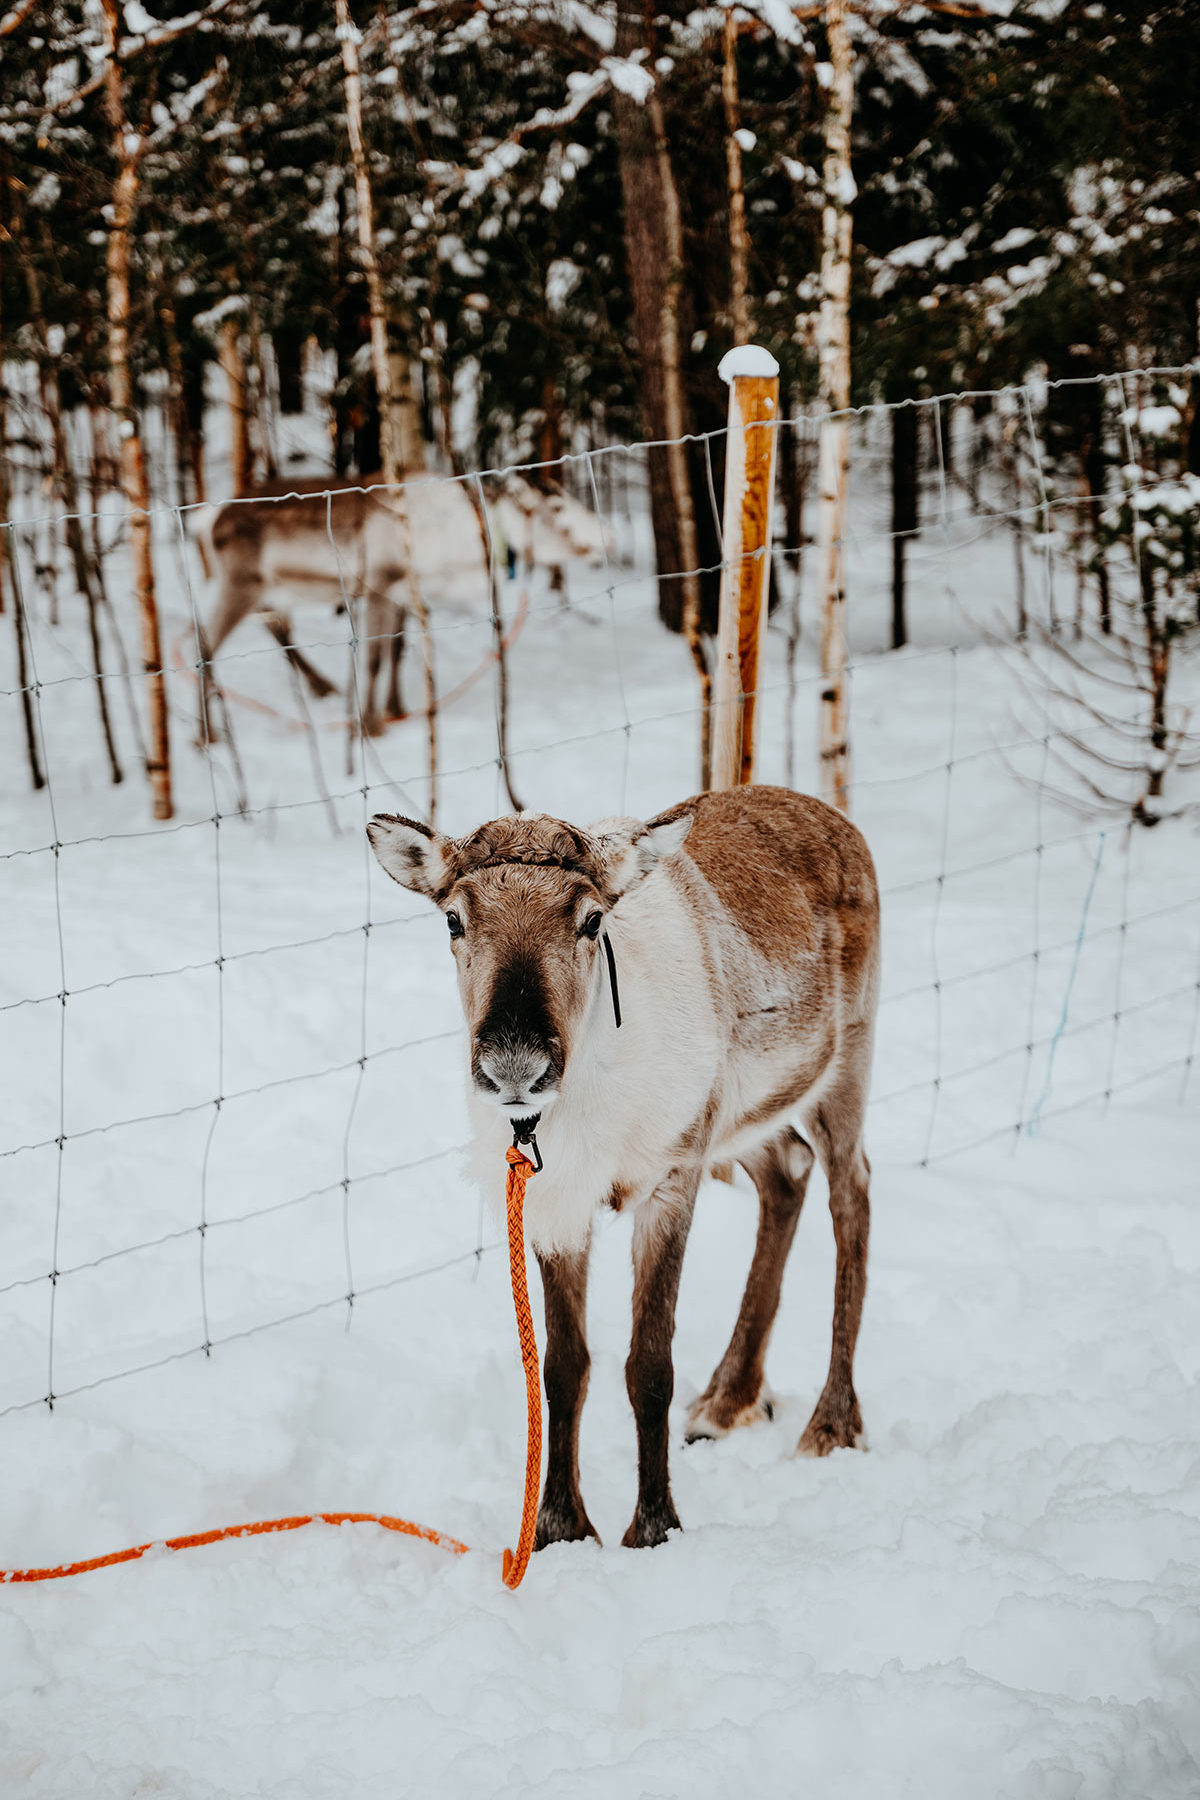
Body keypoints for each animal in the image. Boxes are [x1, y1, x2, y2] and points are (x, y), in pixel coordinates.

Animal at [366, 783, 880, 1551]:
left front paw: (655, 1526)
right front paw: (558, 1527)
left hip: (843, 1069)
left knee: (852, 1196)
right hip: (739, 1113)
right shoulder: (556, 1202)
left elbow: (650, 1364)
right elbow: (562, 1365)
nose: (515, 1065)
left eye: (590, 919)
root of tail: (831, 815)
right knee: (787, 1172)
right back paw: (727, 1400)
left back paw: (833, 1422)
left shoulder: (671, 1178)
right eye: (454, 919)